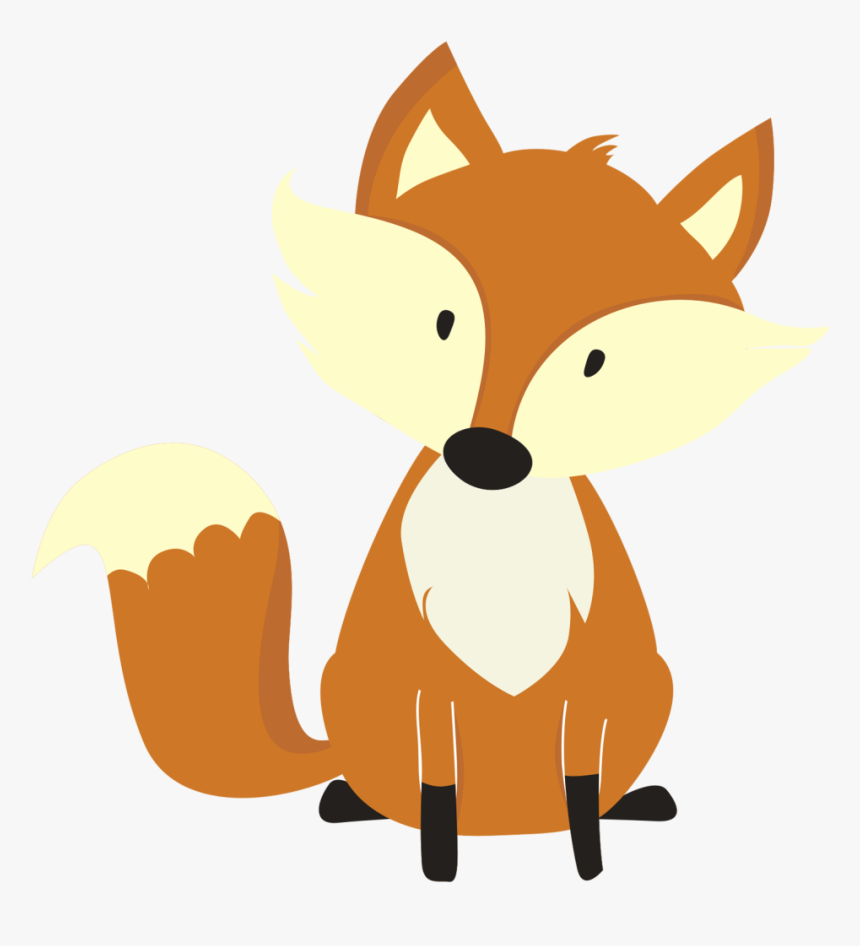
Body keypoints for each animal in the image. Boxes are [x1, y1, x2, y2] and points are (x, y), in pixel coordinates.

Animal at [35, 43, 825, 883]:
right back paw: (355, 801)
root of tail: (509, 826)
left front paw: (588, 865)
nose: (487, 454)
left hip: (649, 684)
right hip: (354, 688)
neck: (496, 543)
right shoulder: (420, 679)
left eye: (596, 363)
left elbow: (581, 790)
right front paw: (438, 867)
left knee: (594, 792)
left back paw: (630, 803)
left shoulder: (593, 678)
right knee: (386, 791)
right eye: (443, 323)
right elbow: (437, 791)